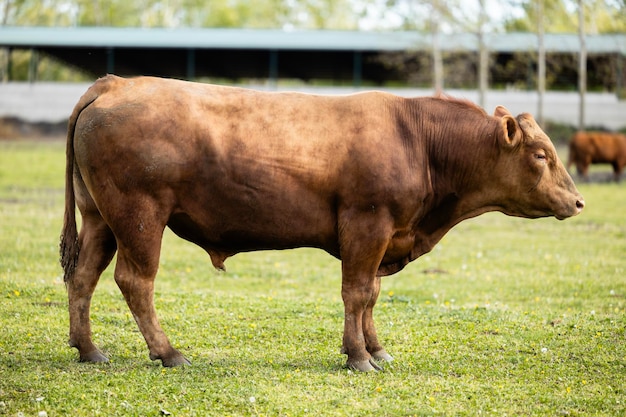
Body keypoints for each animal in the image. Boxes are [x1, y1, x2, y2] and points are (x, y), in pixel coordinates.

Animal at [61, 75, 584, 370]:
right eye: (541, 154)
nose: (578, 202)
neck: (417, 139)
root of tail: (114, 82)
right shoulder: (366, 224)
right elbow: (356, 292)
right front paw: (358, 357)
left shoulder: (383, 235)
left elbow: (371, 294)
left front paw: (376, 349)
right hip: (140, 215)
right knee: (135, 282)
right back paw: (167, 352)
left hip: (100, 217)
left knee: (83, 278)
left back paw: (89, 349)